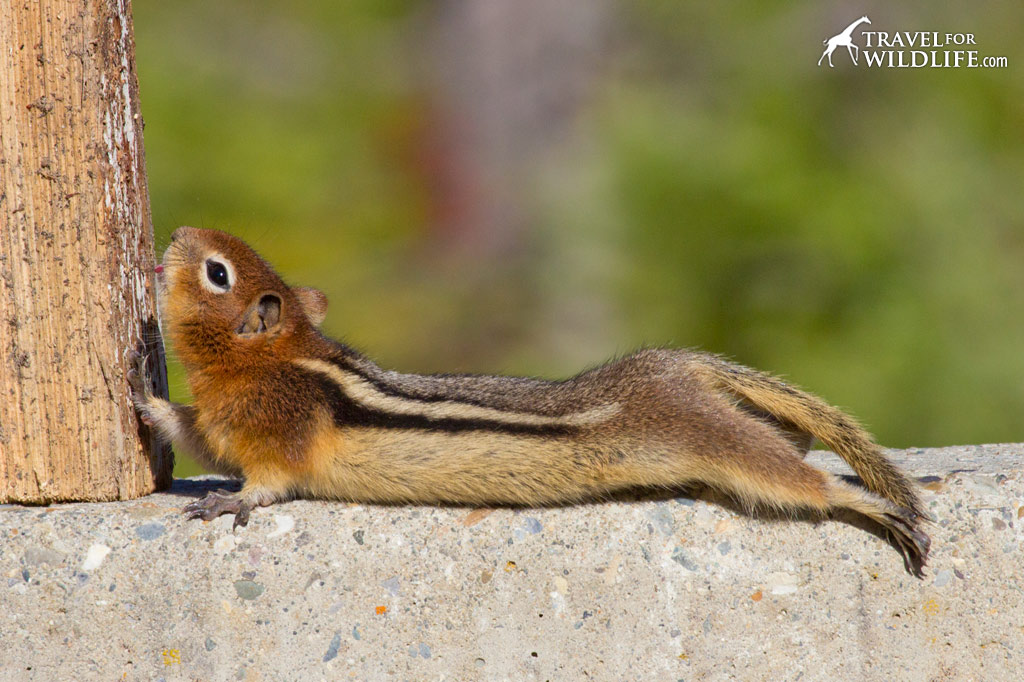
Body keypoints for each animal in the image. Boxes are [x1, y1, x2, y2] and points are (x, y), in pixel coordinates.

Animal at [128, 228, 929, 573]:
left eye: (217, 271)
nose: (176, 232)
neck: (274, 357)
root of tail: (670, 366)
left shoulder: (276, 431)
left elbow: (266, 484)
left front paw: (229, 501)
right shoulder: (226, 424)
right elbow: (195, 431)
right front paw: (142, 395)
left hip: (710, 438)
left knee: (797, 476)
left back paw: (871, 505)